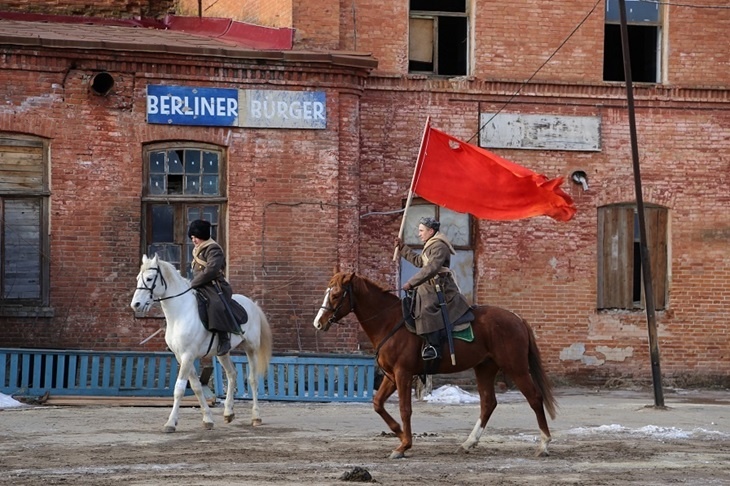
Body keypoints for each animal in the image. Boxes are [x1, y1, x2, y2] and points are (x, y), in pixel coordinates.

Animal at [129, 254, 272, 432]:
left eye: (149, 278)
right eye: (137, 278)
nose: (136, 305)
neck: (180, 313)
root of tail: (252, 304)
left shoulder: (188, 355)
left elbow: (179, 388)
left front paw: (171, 422)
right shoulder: (181, 356)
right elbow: (196, 387)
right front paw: (208, 419)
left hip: (251, 348)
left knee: (253, 379)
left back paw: (256, 416)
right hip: (222, 353)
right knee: (232, 374)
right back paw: (228, 412)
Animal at [310, 274, 556, 460]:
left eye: (335, 294)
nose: (318, 323)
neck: (389, 322)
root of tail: (517, 318)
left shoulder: (403, 374)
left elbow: (405, 409)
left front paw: (404, 445)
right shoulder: (391, 376)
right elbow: (378, 404)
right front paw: (400, 434)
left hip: (516, 368)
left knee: (534, 398)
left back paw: (544, 444)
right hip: (485, 368)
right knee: (488, 403)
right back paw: (468, 442)